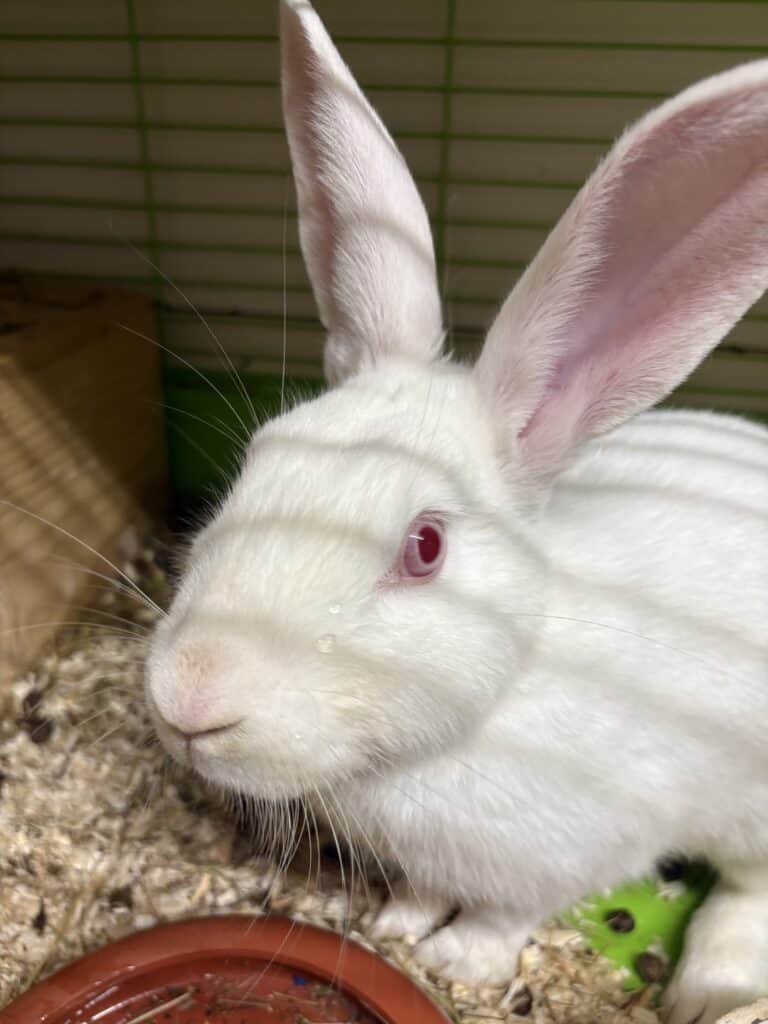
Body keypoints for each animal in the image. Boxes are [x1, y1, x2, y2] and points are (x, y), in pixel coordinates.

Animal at [144, 2, 768, 1022]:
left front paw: (458, 962)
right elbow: (425, 888)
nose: (189, 695)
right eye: (255, 463)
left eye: (426, 546)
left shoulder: (568, 855)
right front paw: (399, 926)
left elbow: (500, 918)